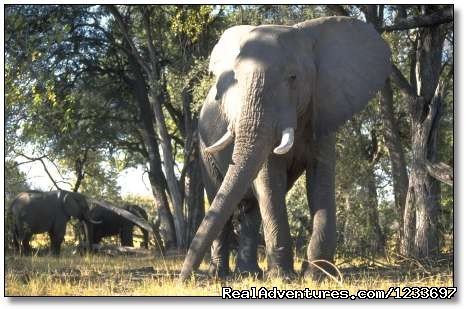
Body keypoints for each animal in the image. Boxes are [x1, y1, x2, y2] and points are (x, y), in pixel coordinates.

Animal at [180, 16, 392, 280]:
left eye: (293, 77)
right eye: (236, 82)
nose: (182, 279)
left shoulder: (321, 114)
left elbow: (320, 182)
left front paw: (317, 277)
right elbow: (270, 182)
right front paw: (283, 278)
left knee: (250, 211)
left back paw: (248, 274)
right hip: (204, 146)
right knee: (221, 198)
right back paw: (221, 275)